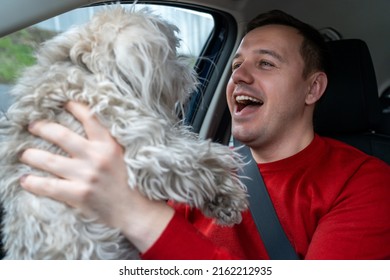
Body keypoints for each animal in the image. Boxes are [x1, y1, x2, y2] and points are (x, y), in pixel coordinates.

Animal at [0, 7, 247, 260]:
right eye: (171, 53)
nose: (188, 68)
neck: (88, 69)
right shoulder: (147, 148)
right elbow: (200, 161)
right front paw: (227, 192)